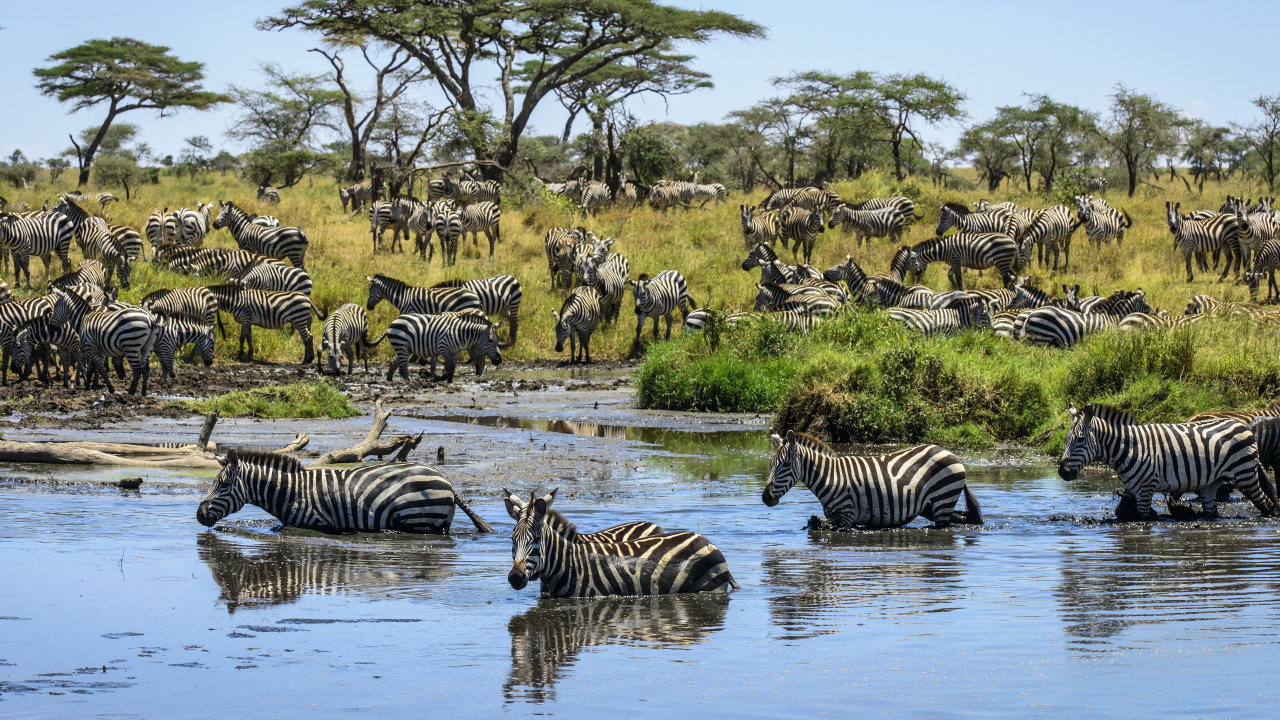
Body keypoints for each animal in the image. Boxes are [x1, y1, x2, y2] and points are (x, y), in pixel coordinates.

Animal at [196, 449, 494, 534]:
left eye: (223, 485)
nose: (199, 514)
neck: (291, 491)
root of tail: (448, 482)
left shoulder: (316, 523)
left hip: (415, 517)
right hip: (439, 523)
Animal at [507, 488, 737, 597]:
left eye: (536, 540)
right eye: (512, 539)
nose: (516, 577)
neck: (569, 565)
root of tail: (704, 539)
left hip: (710, 590)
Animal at [761, 430, 981, 529]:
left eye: (785, 465)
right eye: (771, 464)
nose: (765, 497)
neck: (830, 477)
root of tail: (949, 453)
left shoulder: (847, 515)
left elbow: (826, 525)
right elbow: (817, 523)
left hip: (942, 500)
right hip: (931, 507)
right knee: (962, 518)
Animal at [1059, 403, 1277, 521]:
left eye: (1080, 440)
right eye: (1066, 439)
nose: (1062, 472)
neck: (1128, 448)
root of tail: (1243, 425)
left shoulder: (1146, 489)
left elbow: (1145, 518)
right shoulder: (1134, 487)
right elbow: (1124, 510)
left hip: (1244, 474)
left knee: (1266, 504)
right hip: (1211, 484)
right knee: (1212, 512)